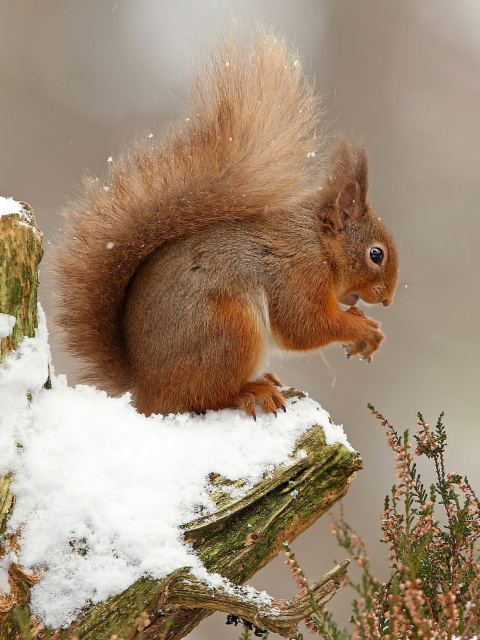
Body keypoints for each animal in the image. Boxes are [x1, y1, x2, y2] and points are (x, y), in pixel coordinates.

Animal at [51, 32, 398, 418]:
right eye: (376, 254)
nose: (387, 300)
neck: (318, 244)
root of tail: (146, 390)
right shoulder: (297, 274)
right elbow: (303, 325)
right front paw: (363, 328)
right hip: (229, 330)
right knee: (206, 396)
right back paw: (251, 391)